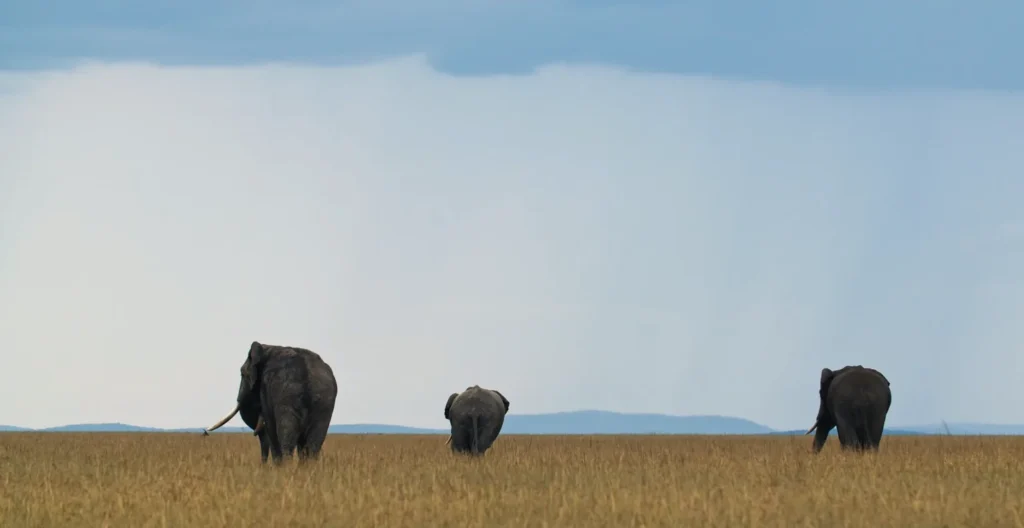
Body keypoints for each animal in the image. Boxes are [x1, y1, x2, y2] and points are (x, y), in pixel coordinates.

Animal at [203, 341, 338, 464]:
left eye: (242, 374)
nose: (205, 431)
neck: (269, 347)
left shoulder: (266, 386)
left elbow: (270, 426)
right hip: (324, 403)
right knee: (314, 443)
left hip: (287, 396)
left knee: (286, 437)